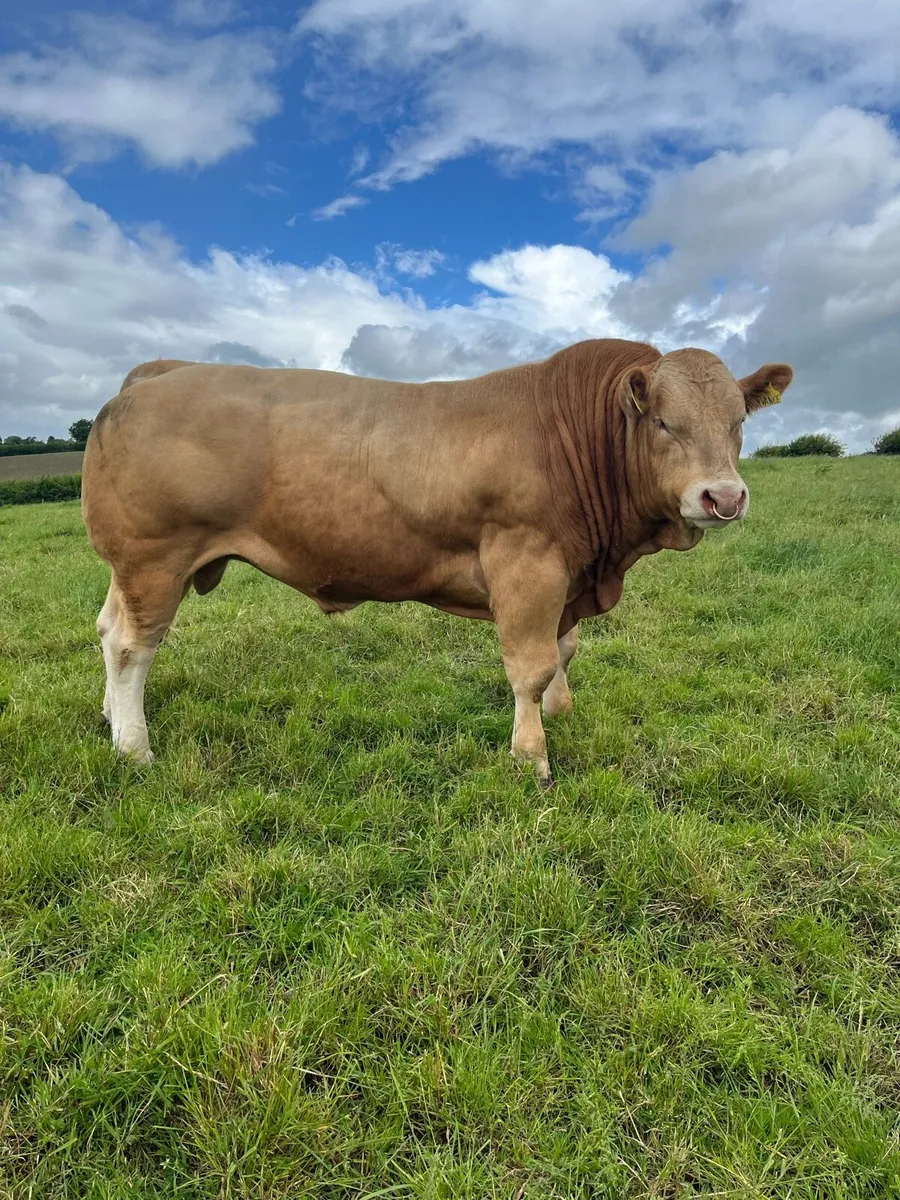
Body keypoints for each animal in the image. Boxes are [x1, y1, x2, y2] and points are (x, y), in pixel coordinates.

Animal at [81, 339, 792, 785]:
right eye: (664, 422)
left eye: (738, 421)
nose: (724, 497)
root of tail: (162, 371)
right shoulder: (526, 560)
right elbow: (530, 666)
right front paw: (531, 757)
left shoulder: (569, 575)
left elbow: (564, 649)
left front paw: (561, 711)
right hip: (155, 555)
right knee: (132, 645)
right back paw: (135, 748)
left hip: (131, 566)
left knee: (106, 628)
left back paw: (112, 720)